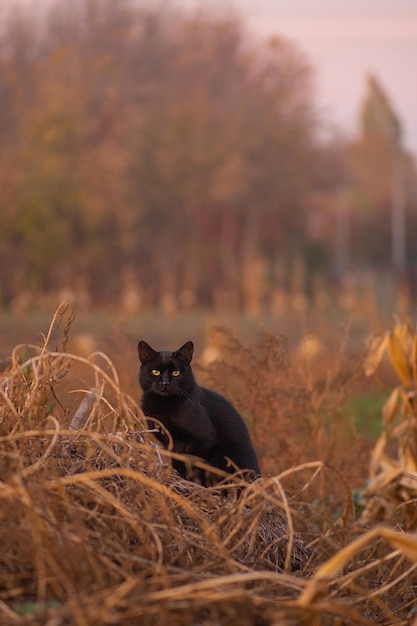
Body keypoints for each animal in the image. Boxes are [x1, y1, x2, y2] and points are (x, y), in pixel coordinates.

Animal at [138, 342, 258, 482]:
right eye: (155, 372)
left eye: (176, 372)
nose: (165, 383)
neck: (164, 405)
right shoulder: (169, 441)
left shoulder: (204, 438)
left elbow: (191, 462)